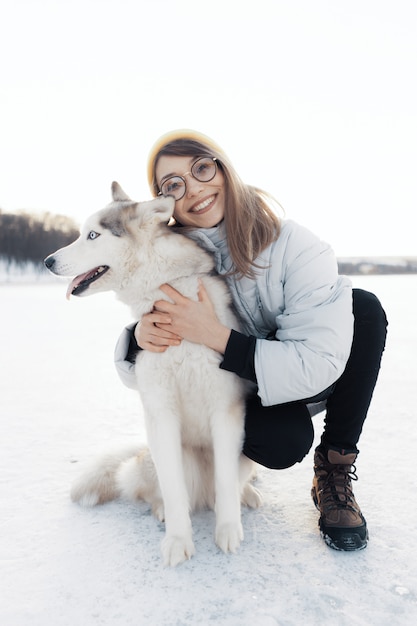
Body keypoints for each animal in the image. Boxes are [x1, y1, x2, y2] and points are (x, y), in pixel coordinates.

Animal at [45, 182, 260, 564]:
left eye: (93, 235)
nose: (47, 261)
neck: (171, 291)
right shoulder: (160, 412)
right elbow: (173, 489)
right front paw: (178, 540)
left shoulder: (226, 411)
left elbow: (226, 483)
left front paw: (227, 529)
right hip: (157, 458)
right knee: (157, 489)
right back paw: (161, 509)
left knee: (229, 483)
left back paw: (244, 495)